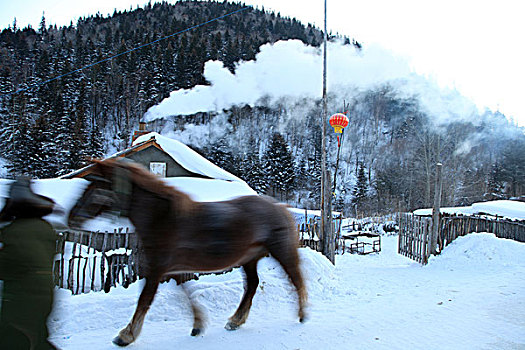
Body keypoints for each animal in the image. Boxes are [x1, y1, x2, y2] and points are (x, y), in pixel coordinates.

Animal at [68, 159, 308, 348]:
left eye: (96, 185)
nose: (72, 218)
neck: (162, 218)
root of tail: (279, 207)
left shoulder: (156, 269)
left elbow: (144, 300)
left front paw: (126, 335)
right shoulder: (170, 268)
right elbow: (185, 293)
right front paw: (198, 325)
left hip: (280, 251)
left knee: (295, 277)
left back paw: (302, 314)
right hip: (249, 259)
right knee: (252, 284)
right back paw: (236, 320)